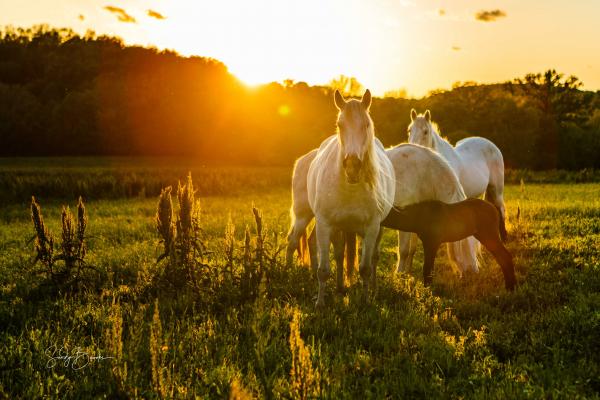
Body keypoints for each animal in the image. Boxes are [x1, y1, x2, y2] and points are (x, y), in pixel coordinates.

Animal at [310, 90, 394, 306]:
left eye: (366, 125)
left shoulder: (372, 227)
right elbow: (323, 270)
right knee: (340, 255)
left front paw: (365, 302)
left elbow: (365, 268)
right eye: (340, 125)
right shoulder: (324, 225)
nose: (352, 167)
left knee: (373, 257)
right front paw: (320, 303)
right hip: (338, 228)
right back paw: (340, 287)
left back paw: (374, 289)